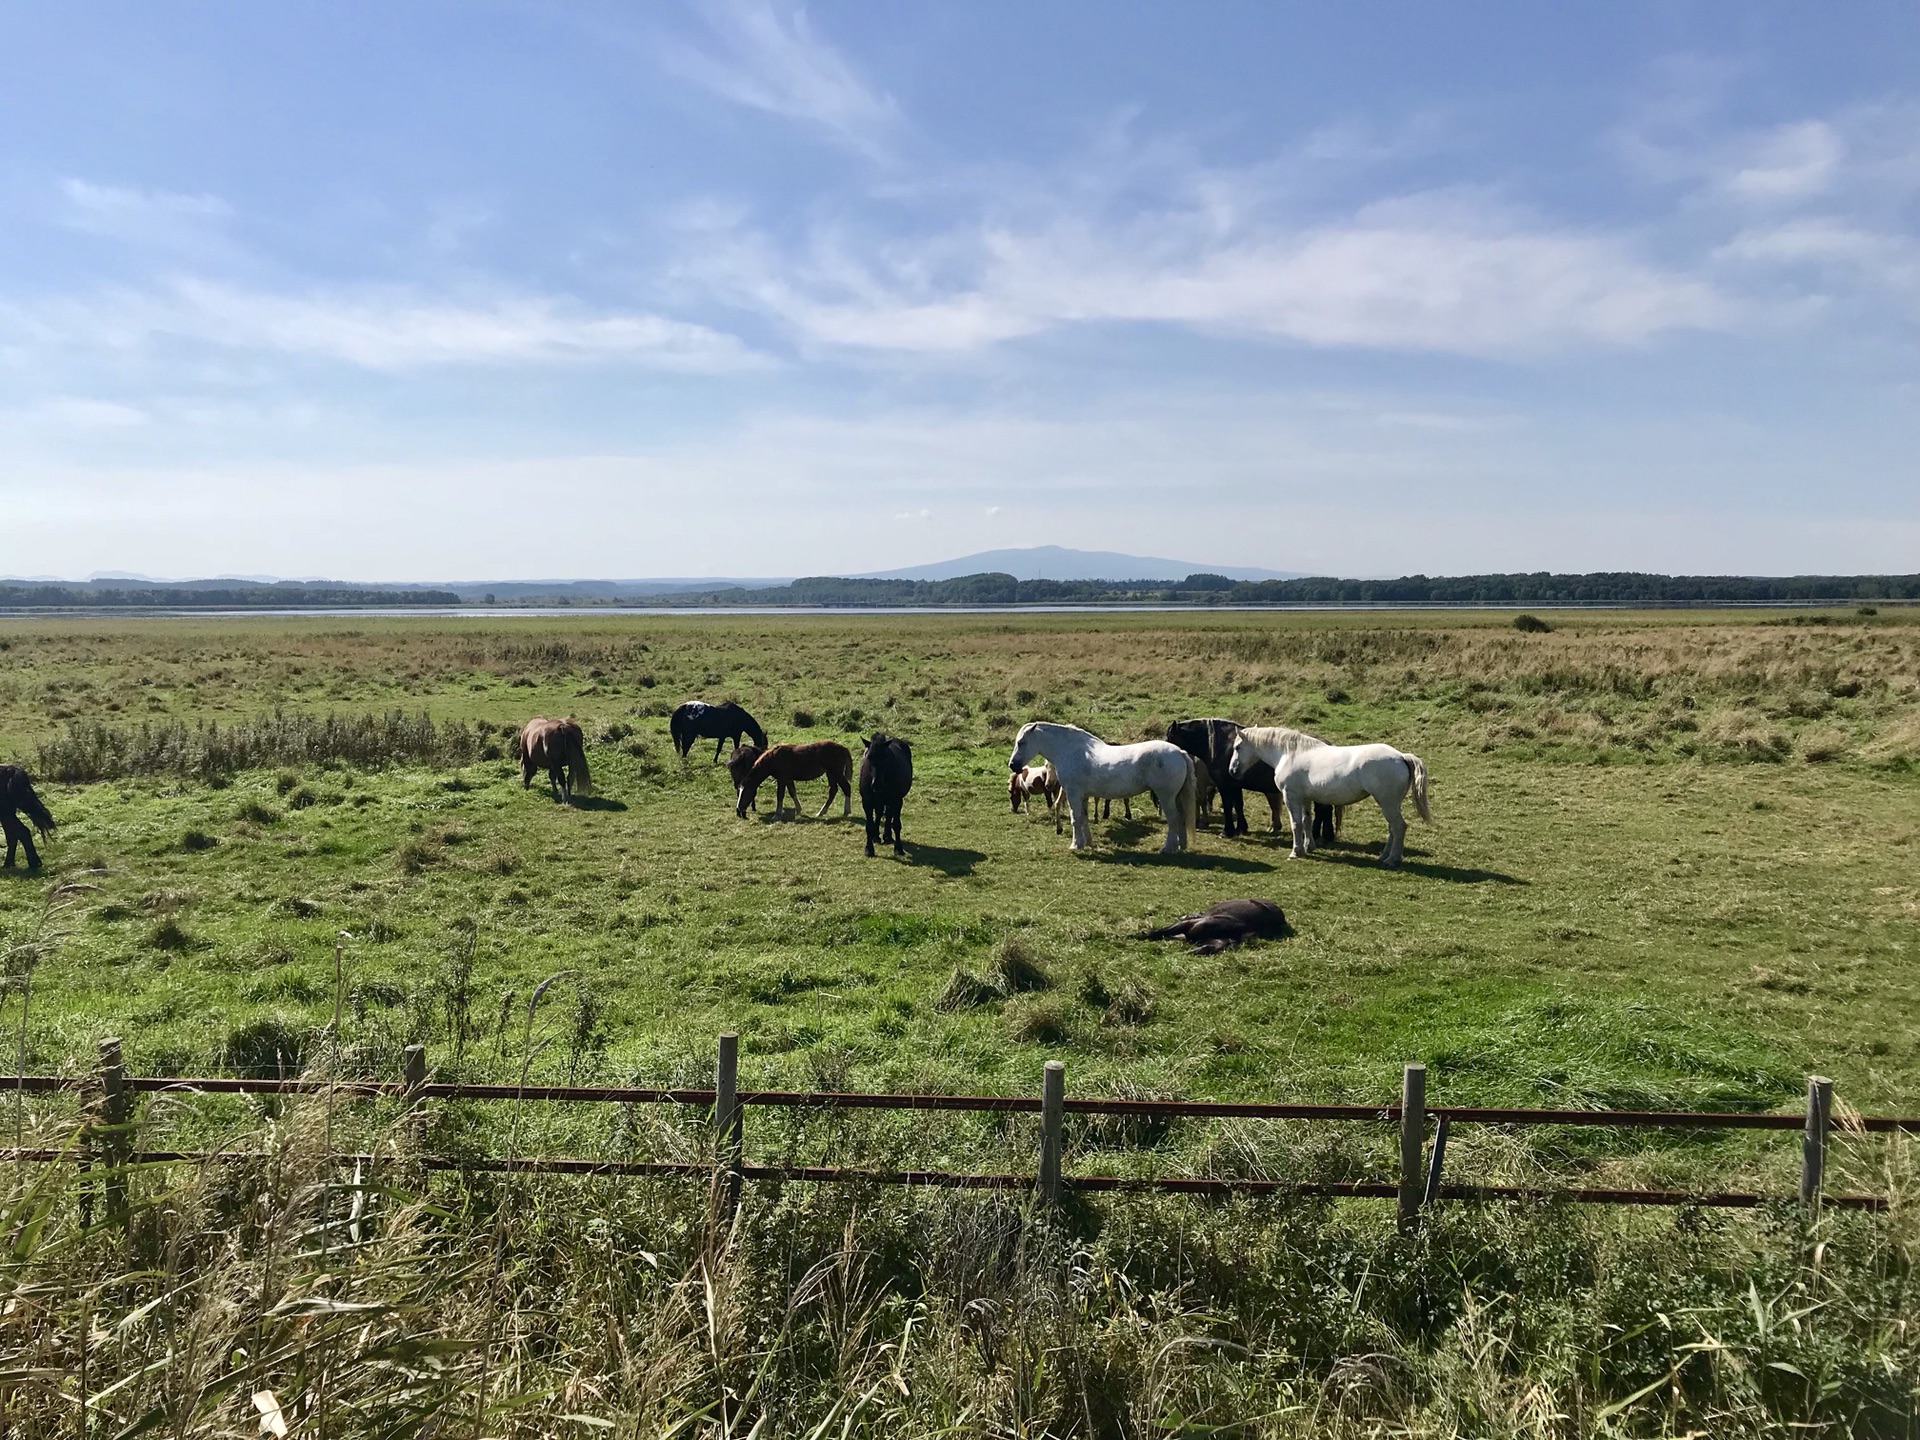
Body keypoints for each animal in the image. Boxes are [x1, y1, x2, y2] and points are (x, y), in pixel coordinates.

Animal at [1006, 721, 1198, 856]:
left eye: (1021, 742)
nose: (1013, 765)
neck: (1071, 751)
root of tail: (1180, 752)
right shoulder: (1083, 796)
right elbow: (1083, 818)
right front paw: (1087, 843)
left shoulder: (1073, 794)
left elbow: (1075, 819)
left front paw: (1075, 845)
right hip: (1176, 797)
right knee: (1180, 818)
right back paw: (1181, 846)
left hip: (1166, 797)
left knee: (1173, 819)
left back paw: (1167, 848)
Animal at [1159, 718, 1328, 844]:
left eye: (1169, 738)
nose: (1163, 753)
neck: (1218, 745)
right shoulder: (1235, 785)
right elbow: (1238, 805)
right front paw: (1241, 828)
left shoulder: (1224, 785)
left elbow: (1228, 806)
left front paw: (1227, 831)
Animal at [1228, 733, 1428, 867]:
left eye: (1237, 747)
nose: (1232, 771)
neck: (1289, 754)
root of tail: (1401, 757)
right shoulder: (1305, 798)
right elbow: (1306, 821)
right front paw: (1309, 846)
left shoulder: (1291, 796)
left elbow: (1296, 824)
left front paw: (1296, 851)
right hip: (1390, 804)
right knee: (1393, 828)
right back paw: (1383, 856)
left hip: (1387, 803)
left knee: (1399, 827)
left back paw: (1392, 859)